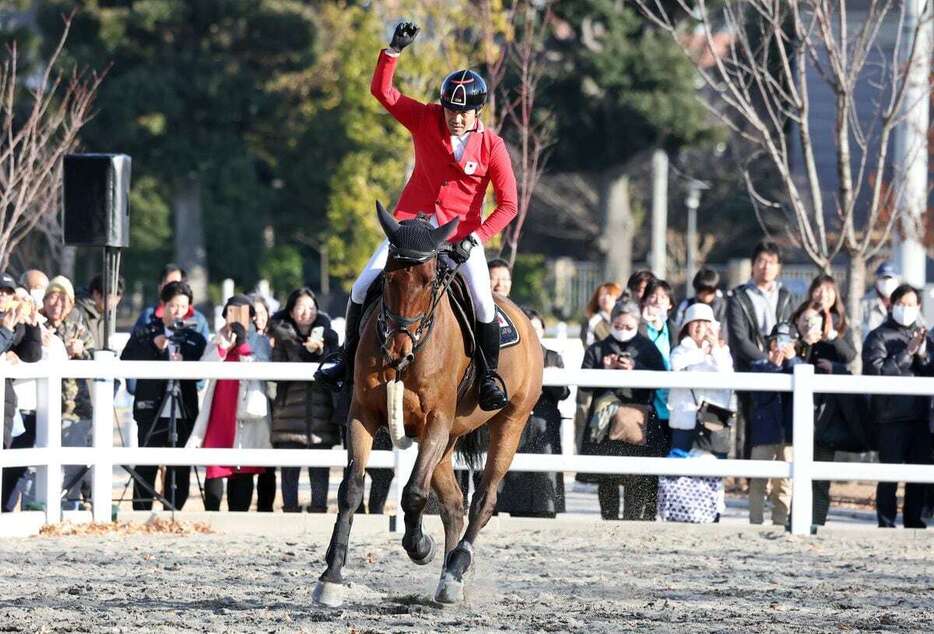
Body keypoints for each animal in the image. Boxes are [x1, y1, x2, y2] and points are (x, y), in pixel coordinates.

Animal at [314, 201, 544, 604]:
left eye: (427, 281)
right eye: (388, 279)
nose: (396, 350)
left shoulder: (435, 420)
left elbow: (413, 494)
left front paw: (420, 546)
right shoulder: (363, 415)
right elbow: (351, 490)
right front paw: (332, 576)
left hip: (509, 424)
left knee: (483, 500)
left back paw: (455, 569)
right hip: (448, 438)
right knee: (453, 505)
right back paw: (449, 580)